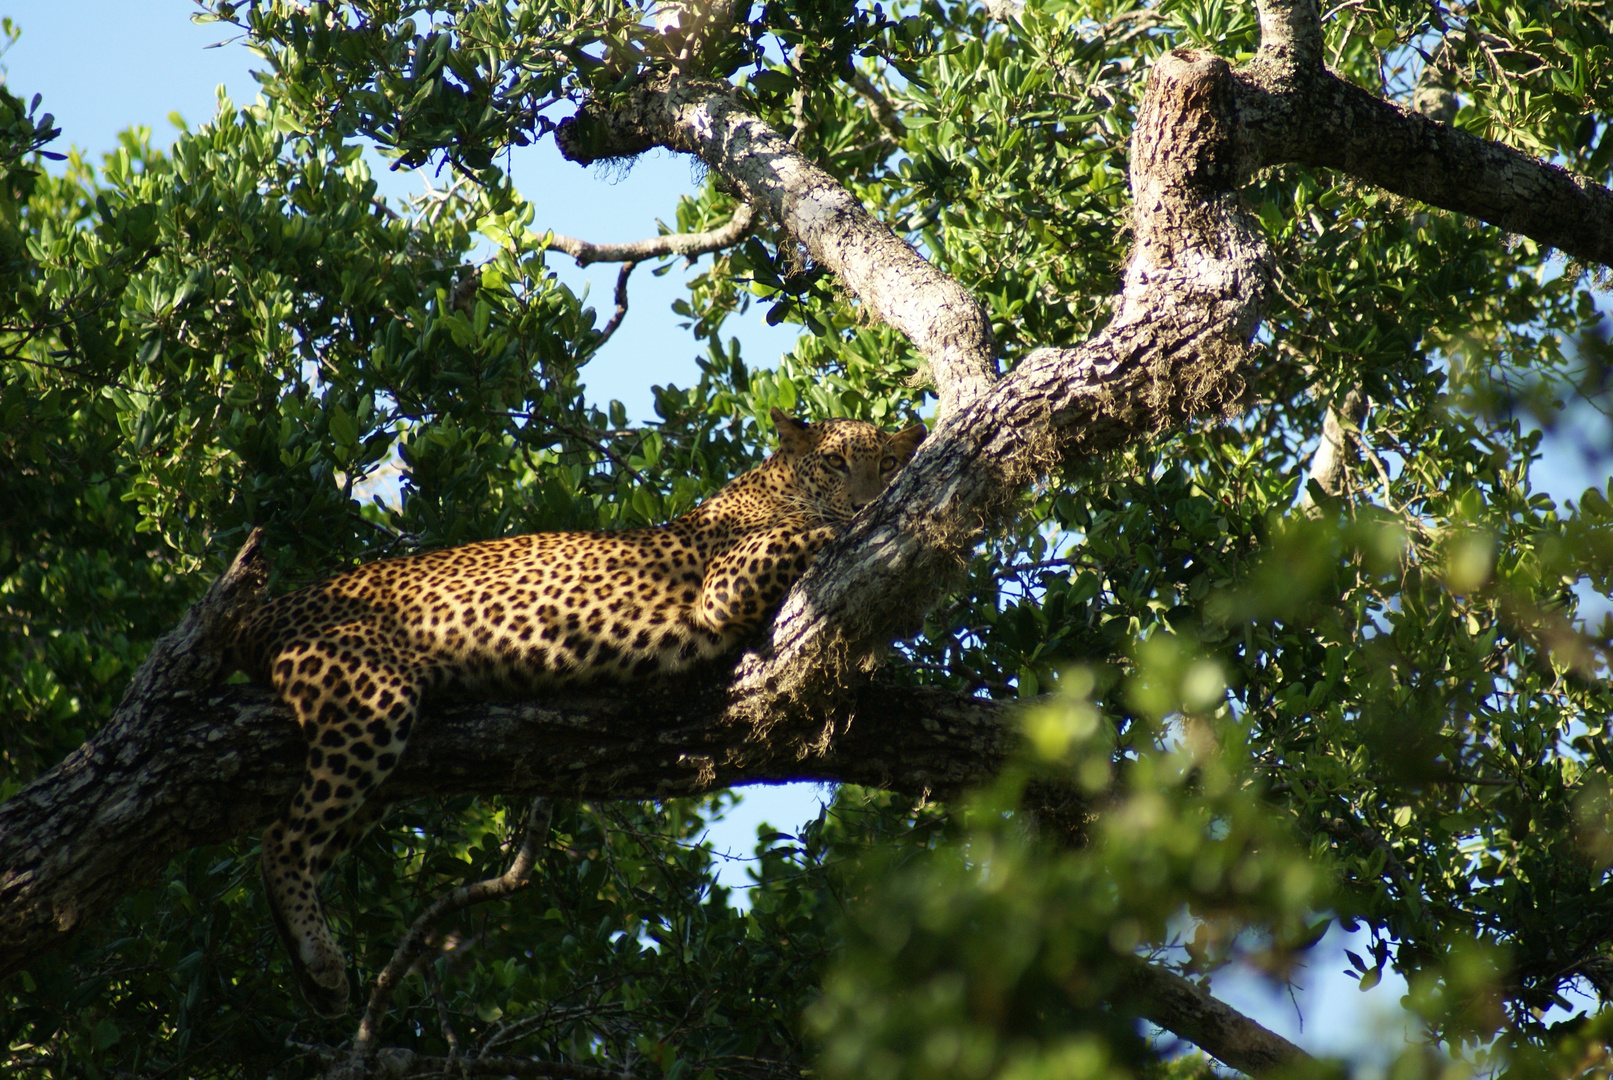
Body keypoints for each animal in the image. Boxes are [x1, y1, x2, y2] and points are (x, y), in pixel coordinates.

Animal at [233, 406, 929, 1018]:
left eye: (890, 464)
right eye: (836, 463)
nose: (867, 503)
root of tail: (265, 610)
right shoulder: (730, 581)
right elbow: (820, 534)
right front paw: (872, 531)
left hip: (382, 767)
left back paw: (317, 977)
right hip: (368, 698)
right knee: (280, 840)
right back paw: (321, 962)